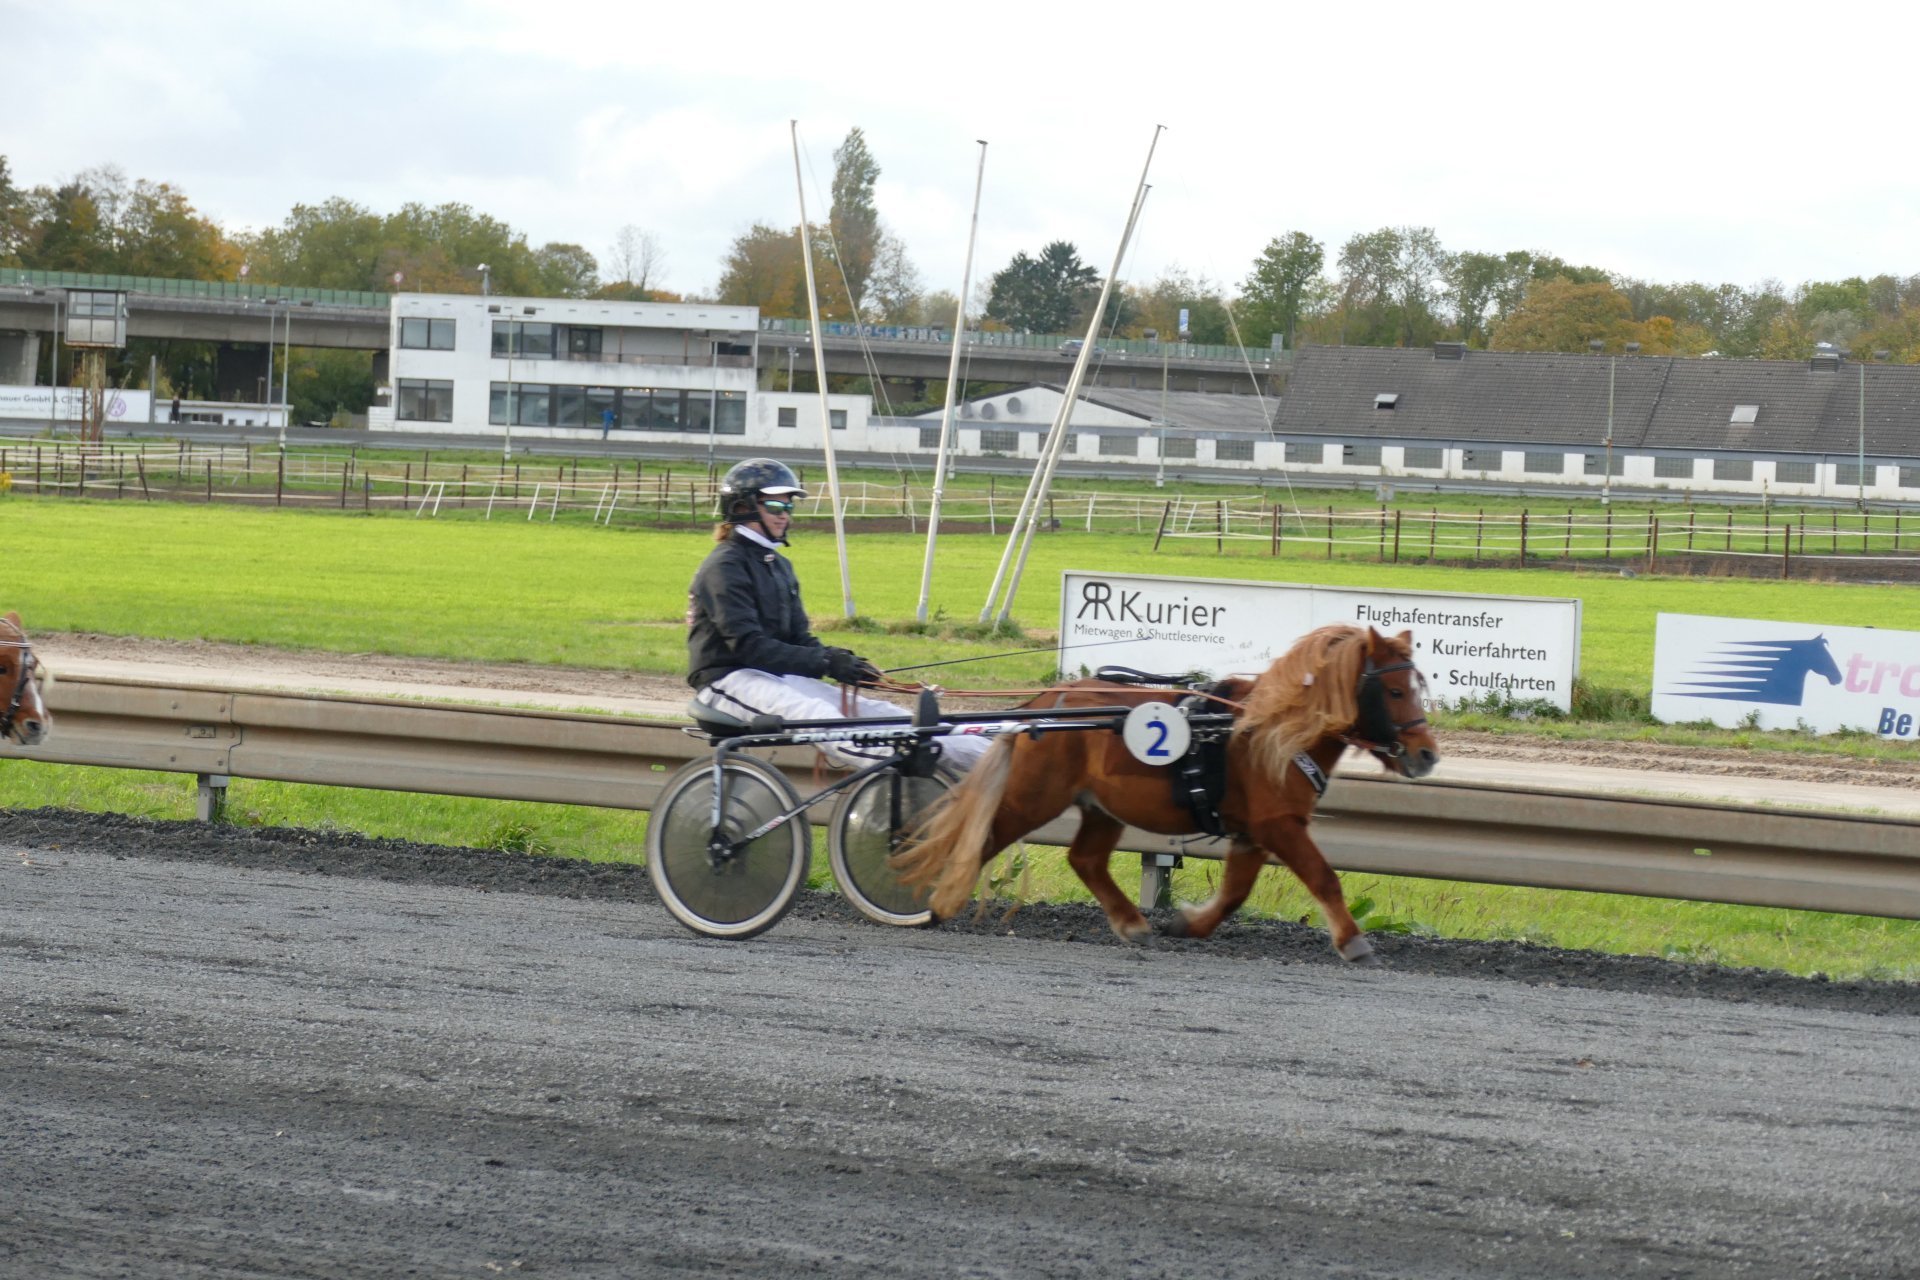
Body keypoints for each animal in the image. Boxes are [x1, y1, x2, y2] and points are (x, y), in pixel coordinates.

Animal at [892, 625, 1438, 963]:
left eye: (1418, 687)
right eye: (1394, 692)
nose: (1428, 754)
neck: (1270, 731)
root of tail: (1043, 706)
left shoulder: (1252, 832)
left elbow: (1236, 891)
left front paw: (1189, 924)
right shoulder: (1278, 824)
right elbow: (1324, 878)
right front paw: (1353, 942)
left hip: (1101, 806)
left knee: (1085, 859)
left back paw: (1131, 922)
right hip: (1033, 796)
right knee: (982, 841)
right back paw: (936, 901)